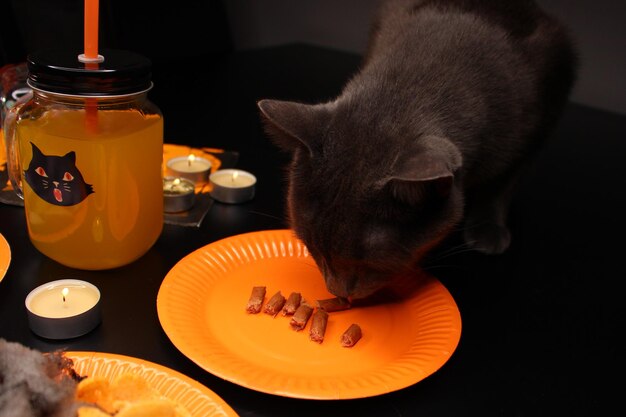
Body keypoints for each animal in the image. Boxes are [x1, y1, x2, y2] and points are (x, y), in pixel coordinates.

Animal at [258, 0, 576, 300]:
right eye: (312, 247)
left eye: (372, 263)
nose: (337, 292)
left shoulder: (539, 121)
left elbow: (503, 183)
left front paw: (488, 229)